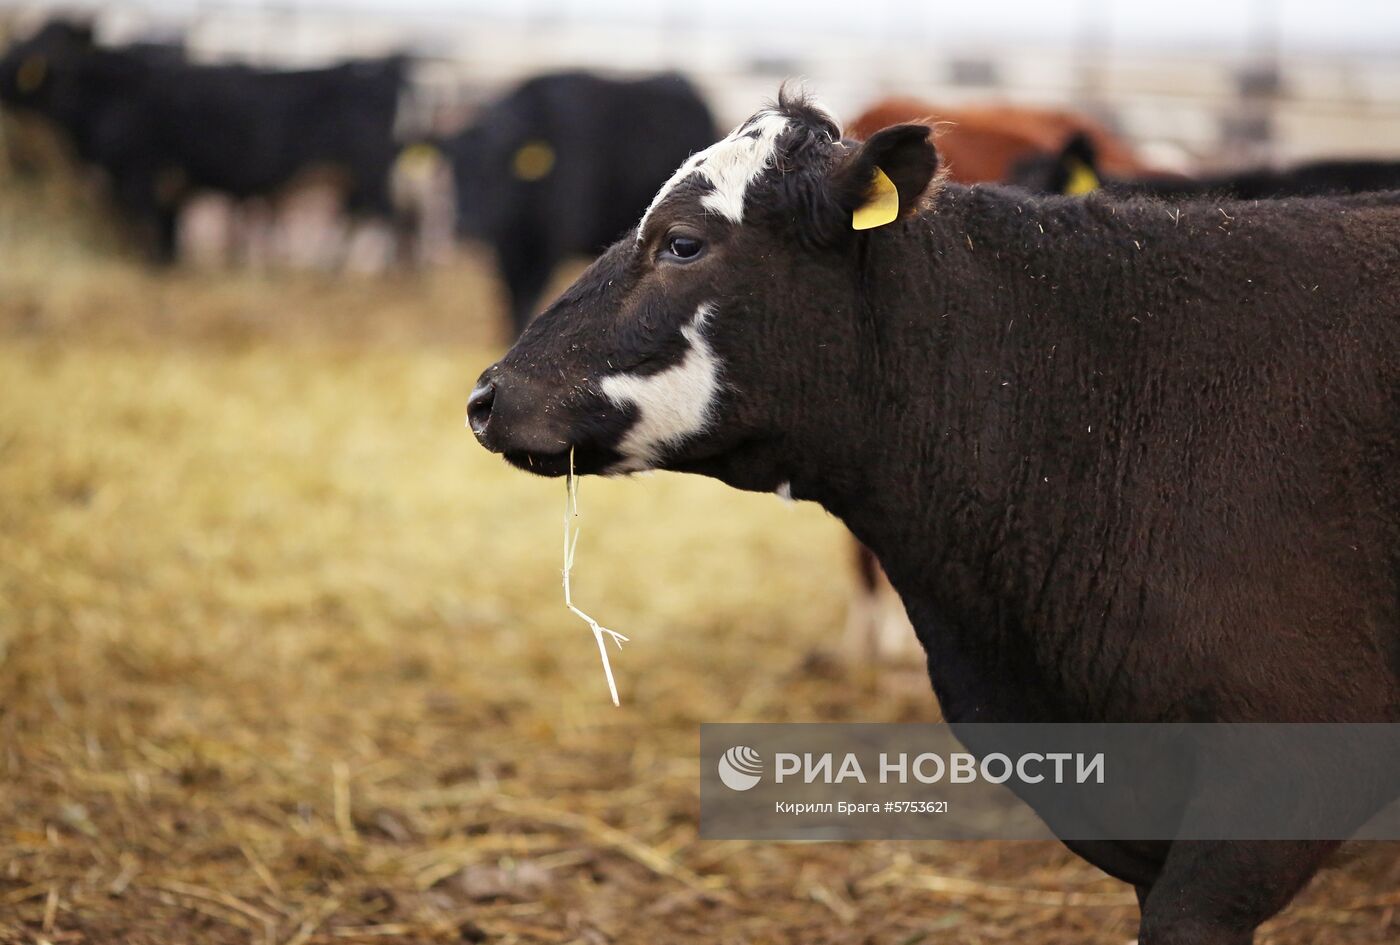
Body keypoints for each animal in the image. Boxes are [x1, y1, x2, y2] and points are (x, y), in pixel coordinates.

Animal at [0, 19, 408, 261]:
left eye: (41, 47)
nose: (6, 65)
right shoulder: (166, 186)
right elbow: (166, 239)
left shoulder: (140, 174)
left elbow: (152, 238)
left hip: (370, 173)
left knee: (396, 224)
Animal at [445, 73, 716, 340]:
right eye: (453, 171)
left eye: (495, 169)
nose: (464, 225)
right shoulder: (507, 249)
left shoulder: (549, 245)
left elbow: (526, 300)